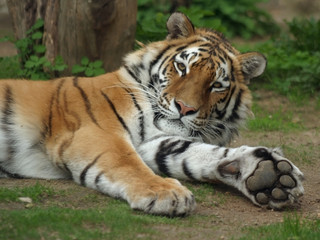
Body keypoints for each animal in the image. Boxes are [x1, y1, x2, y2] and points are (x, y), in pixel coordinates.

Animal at [0, 12, 304, 216]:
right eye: (182, 67)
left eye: (217, 85)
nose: (185, 108)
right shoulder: (97, 132)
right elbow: (126, 163)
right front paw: (167, 194)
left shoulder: (154, 144)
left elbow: (198, 154)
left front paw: (269, 174)